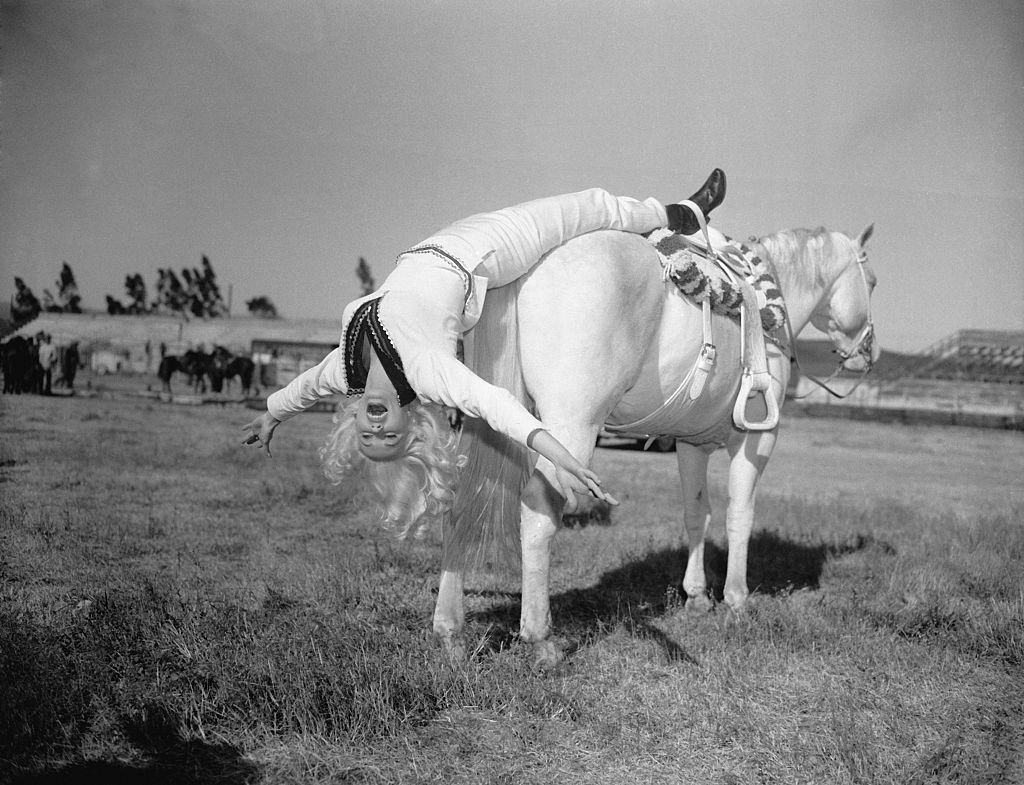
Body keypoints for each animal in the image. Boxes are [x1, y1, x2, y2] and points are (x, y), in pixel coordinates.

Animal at [436, 224, 876, 667]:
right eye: (871, 281)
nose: (866, 356)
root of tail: (528, 270)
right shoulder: (757, 439)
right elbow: (739, 516)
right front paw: (735, 602)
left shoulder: (691, 446)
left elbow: (697, 513)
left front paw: (697, 596)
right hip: (569, 430)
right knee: (538, 512)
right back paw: (539, 637)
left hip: (491, 418)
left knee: (464, 501)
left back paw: (450, 629)